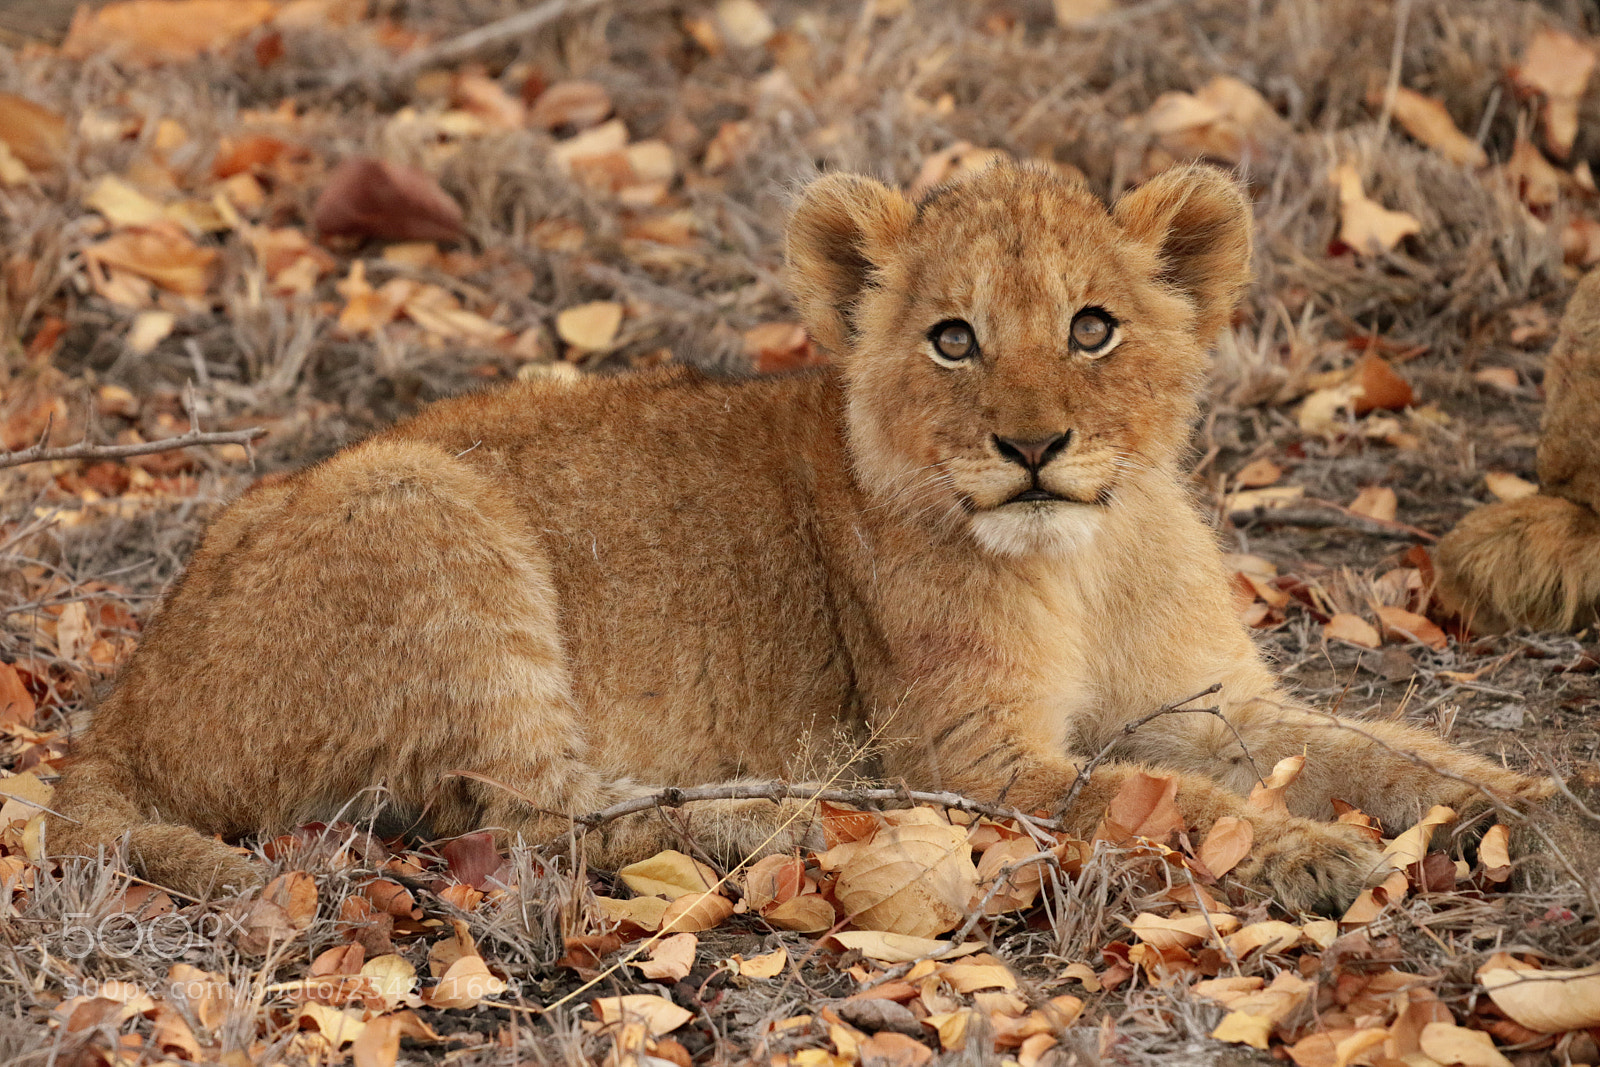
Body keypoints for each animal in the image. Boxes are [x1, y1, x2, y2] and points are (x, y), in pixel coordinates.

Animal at [47, 163, 1556, 913]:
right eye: (952, 338)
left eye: (1092, 328)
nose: (1031, 448)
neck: (1085, 560)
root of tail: (126, 694)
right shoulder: (969, 752)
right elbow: (1169, 799)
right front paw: (1310, 853)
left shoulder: (1211, 699)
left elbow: (1376, 747)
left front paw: (1535, 804)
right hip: (426, 504)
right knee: (537, 817)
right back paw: (792, 813)